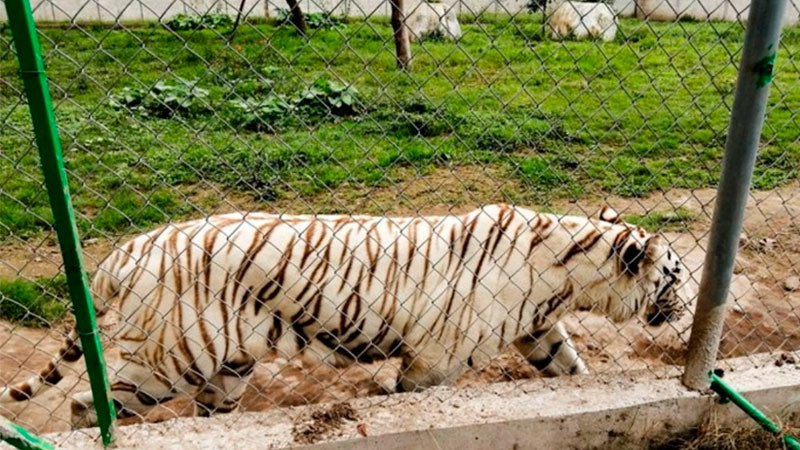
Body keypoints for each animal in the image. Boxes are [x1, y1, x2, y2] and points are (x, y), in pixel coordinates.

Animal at [0, 204, 687, 428]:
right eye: (677, 275)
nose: (686, 306)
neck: (568, 276)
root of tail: (125, 250)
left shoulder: (538, 328)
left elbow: (570, 371)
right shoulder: (435, 358)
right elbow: (411, 395)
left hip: (227, 367)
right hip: (171, 358)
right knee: (88, 405)